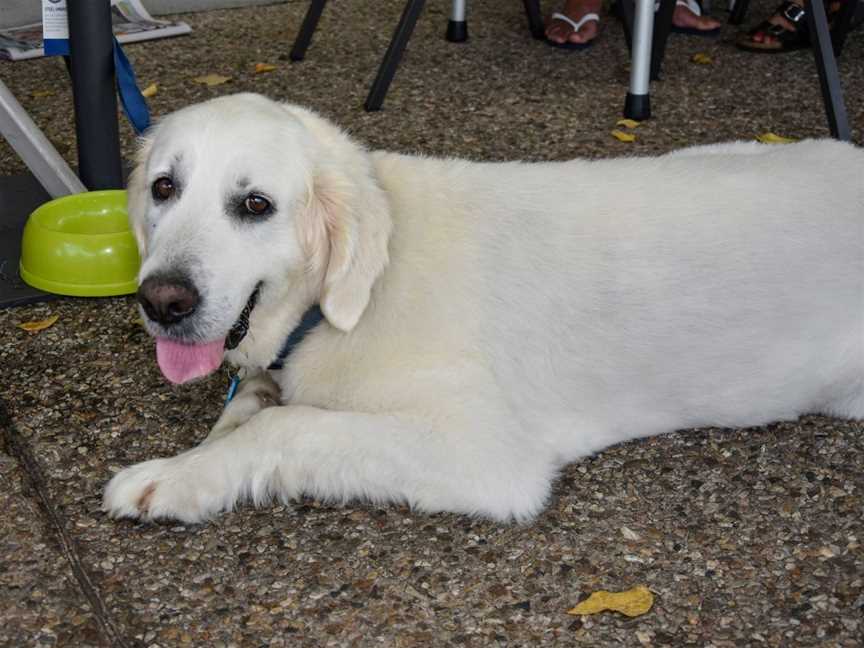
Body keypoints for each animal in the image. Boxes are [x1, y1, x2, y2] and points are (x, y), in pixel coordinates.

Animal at [103, 93, 864, 524]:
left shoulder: (485, 452)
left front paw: (177, 477)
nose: (161, 301)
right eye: (164, 188)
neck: (347, 299)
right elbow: (249, 409)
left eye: (255, 204)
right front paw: (195, 461)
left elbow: (285, 427)